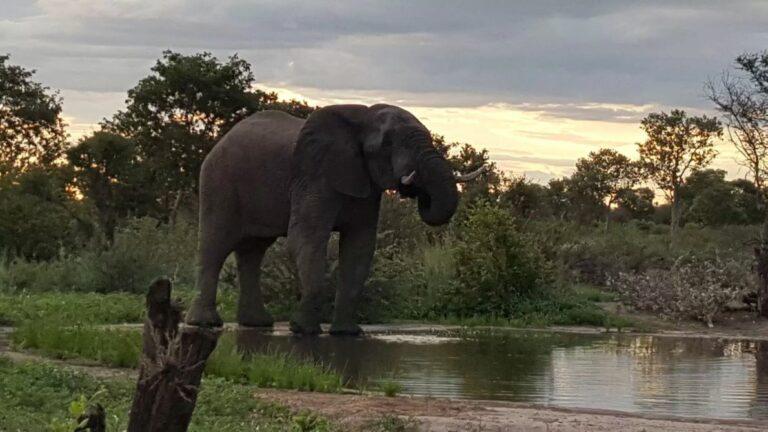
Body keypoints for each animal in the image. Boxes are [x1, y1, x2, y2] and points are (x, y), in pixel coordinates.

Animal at [185, 104, 483, 335]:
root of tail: (221, 140)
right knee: (215, 245)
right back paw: (206, 324)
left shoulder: (366, 187)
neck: (362, 117)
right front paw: (303, 330)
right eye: (388, 144)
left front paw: (347, 333)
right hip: (218, 182)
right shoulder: (313, 174)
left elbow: (359, 247)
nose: (417, 190)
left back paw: (258, 324)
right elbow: (307, 237)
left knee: (253, 251)